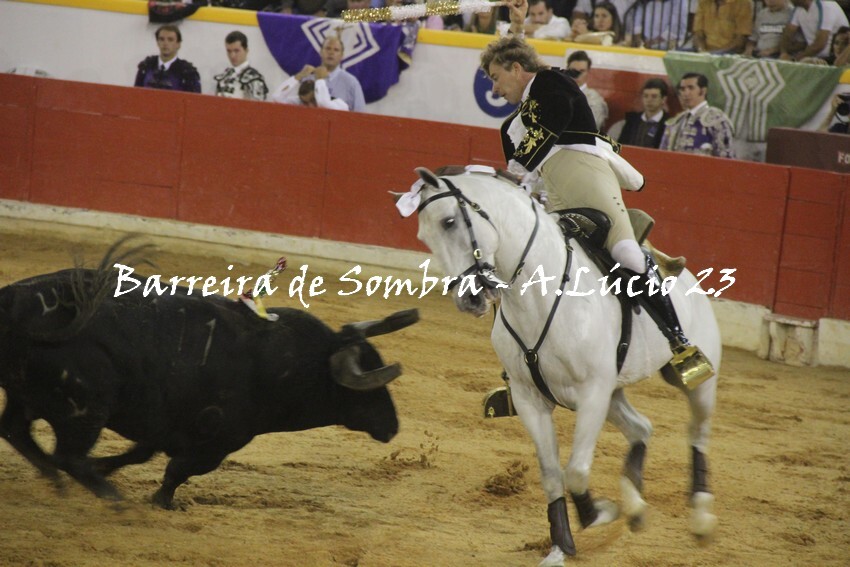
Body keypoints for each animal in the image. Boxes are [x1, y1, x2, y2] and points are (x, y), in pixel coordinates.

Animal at [0, 238, 418, 509]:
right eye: (367, 390)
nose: (392, 426)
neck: (286, 365)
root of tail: (17, 301)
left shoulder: (163, 423)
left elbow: (140, 454)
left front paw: (109, 467)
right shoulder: (218, 442)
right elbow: (178, 470)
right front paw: (162, 502)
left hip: (30, 395)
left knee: (17, 430)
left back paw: (56, 479)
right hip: (86, 406)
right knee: (68, 454)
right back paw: (109, 497)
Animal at [403, 166, 721, 566]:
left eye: (448, 221)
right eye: (423, 235)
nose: (469, 298)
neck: (539, 294)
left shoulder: (592, 393)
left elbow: (577, 471)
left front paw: (600, 514)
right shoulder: (531, 400)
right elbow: (553, 474)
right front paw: (561, 546)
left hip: (697, 383)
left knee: (698, 433)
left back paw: (701, 516)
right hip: (614, 393)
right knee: (642, 428)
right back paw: (634, 506)